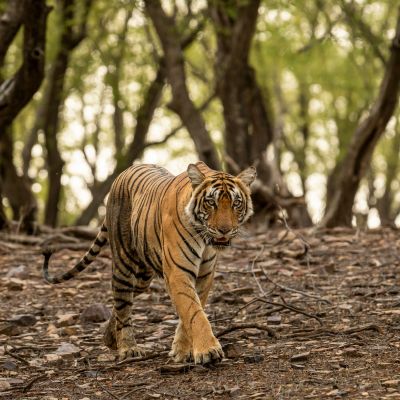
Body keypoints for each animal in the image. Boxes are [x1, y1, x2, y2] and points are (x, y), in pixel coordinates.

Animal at [42, 161, 255, 364]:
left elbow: (191, 311)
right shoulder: (178, 272)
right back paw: (128, 348)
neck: (204, 239)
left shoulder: (204, 275)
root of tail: (124, 172)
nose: (224, 230)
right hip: (124, 265)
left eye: (236, 203)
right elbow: (194, 312)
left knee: (122, 305)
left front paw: (181, 351)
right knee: (122, 306)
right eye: (211, 202)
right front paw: (208, 351)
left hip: (143, 278)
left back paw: (110, 338)